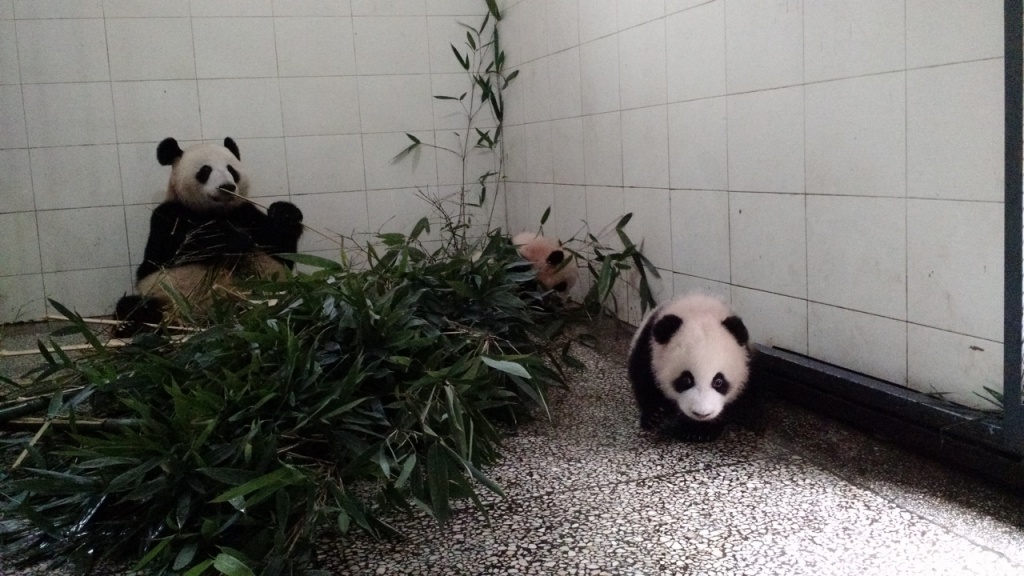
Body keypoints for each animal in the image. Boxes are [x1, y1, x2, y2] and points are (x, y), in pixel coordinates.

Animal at [115, 136, 303, 332]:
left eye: (231, 169)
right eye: (205, 170)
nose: (227, 186)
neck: (215, 212)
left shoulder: (245, 213)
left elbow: (281, 250)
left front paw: (285, 213)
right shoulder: (168, 216)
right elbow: (172, 249)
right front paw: (234, 238)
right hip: (164, 299)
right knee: (133, 308)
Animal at [622, 291, 753, 438]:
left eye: (718, 381)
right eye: (686, 379)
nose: (701, 414)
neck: (697, 308)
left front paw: (701, 430)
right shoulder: (648, 349)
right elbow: (643, 379)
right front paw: (653, 416)